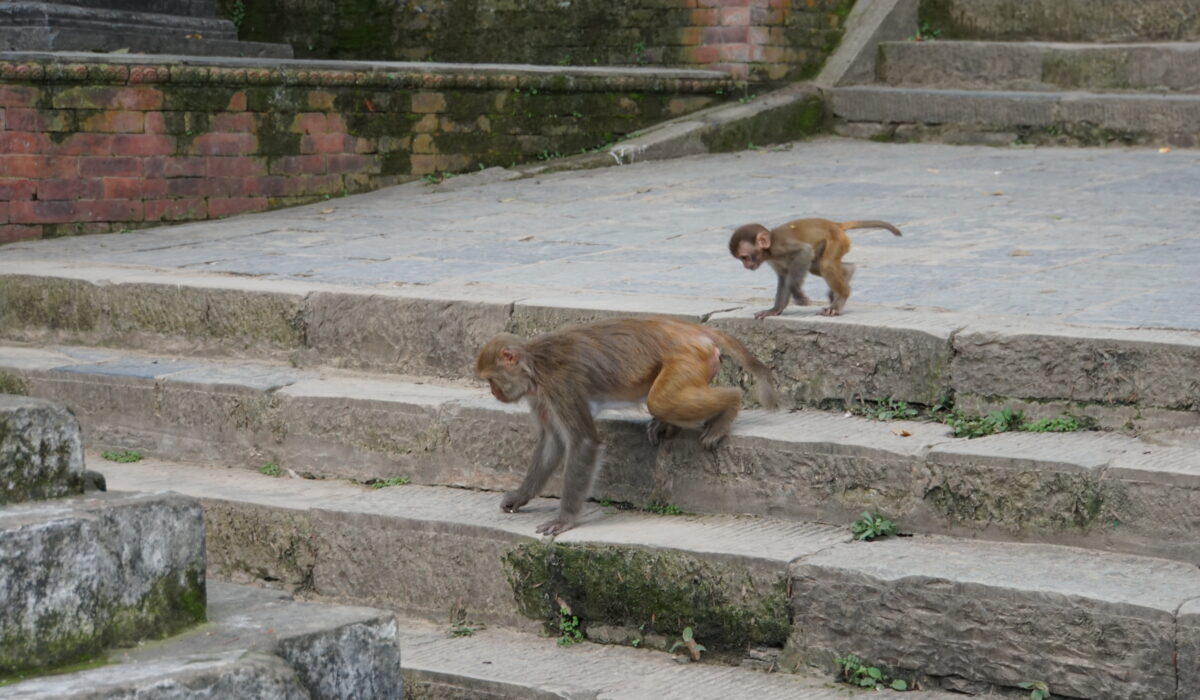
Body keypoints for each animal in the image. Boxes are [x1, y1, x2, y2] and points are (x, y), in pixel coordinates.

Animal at [475, 317, 780, 535]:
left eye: (491, 379)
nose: (494, 393)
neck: (535, 366)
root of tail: (689, 329)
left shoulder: (560, 385)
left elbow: (582, 442)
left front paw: (565, 519)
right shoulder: (541, 397)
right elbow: (553, 441)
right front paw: (520, 496)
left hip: (686, 358)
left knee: (661, 400)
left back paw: (730, 404)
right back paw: (670, 425)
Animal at [729, 218, 902, 319]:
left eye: (744, 257)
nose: (746, 266)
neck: (769, 249)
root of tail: (835, 225)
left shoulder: (780, 246)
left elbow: (804, 251)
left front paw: (798, 295)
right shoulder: (773, 259)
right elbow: (784, 276)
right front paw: (775, 309)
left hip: (837, 240)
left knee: (825, 265)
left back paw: (840, 299)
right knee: (815, 265)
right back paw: (848, 271)